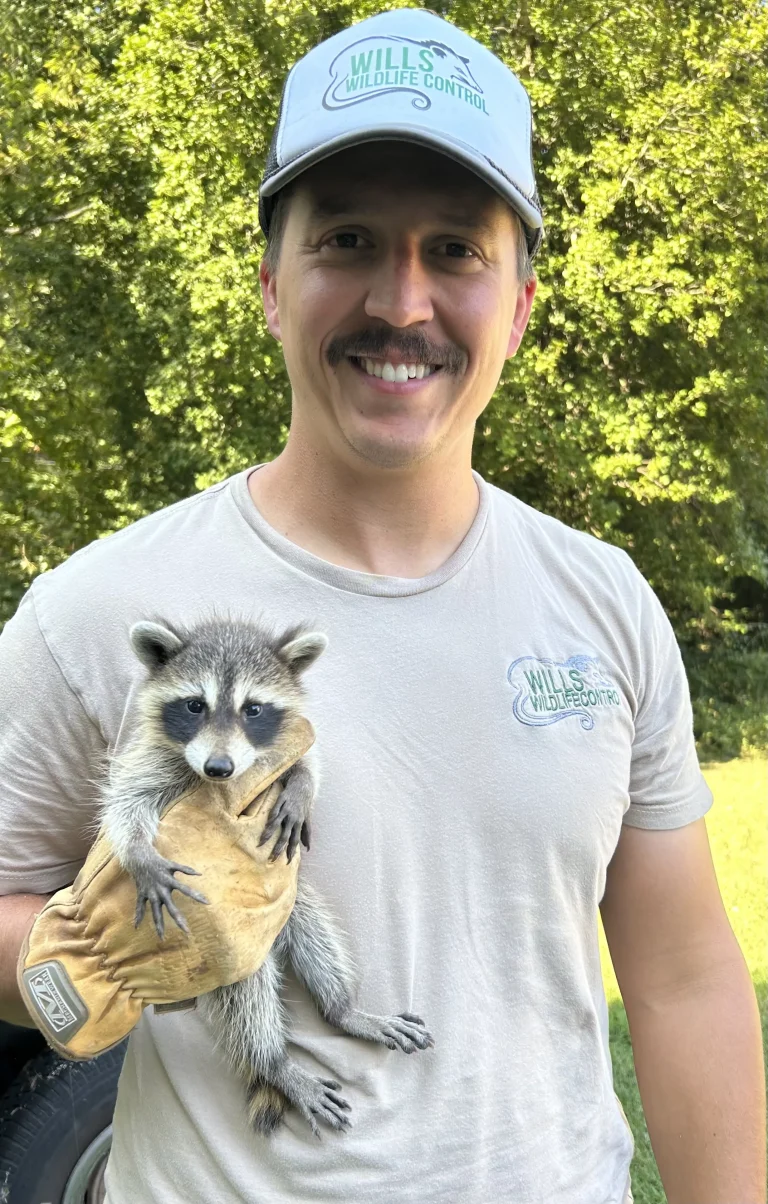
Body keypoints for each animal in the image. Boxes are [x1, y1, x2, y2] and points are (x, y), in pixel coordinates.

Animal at [100, 616, 433, 1137]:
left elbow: (306, 760)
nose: (219, 767)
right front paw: (138, 853)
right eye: (195, 705)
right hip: (230, 949)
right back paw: (275, 1063)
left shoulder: (281, 748)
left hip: (289, 905)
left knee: (315, 934)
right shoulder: (149, 760)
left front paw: (301, 787)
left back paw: (342, 1008)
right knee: (247, 999)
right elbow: (123, 805)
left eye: (252, 709)